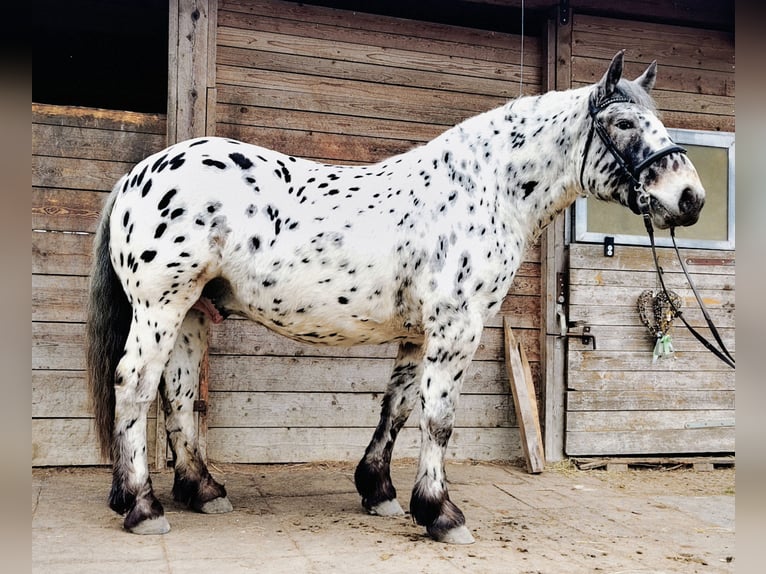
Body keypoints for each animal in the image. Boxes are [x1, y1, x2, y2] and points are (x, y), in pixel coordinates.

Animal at [86, 51, 704, 543]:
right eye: (622, 122)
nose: (691, 198)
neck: (485, 191)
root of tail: (139, 174)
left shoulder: (418, 334)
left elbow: (399, 408)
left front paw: (380, 492)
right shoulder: (457, 328)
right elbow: (439, 419)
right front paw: (441, 514)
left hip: (191, 311)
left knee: (179, 395)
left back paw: (202, 491)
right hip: (161, 306)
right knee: (135, 386)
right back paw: (143, 507)